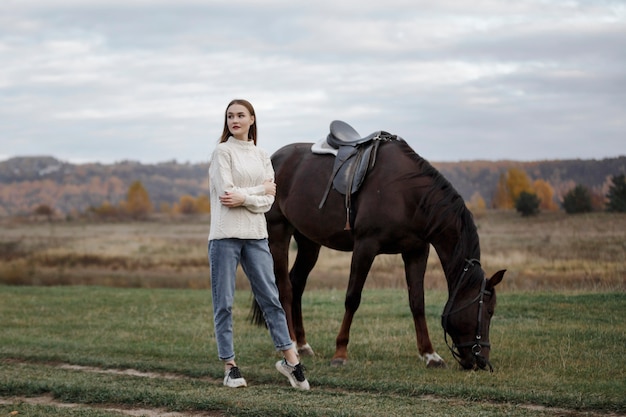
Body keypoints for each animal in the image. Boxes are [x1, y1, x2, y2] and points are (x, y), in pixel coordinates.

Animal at [251, 128, 504, 368]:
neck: (409, 195)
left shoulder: (416, 251)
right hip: (278, 233)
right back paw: (292, 343)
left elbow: (417, 302)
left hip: (308, 241)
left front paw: (430, 354)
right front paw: (340, 353)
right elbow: (352, 298)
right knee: (285, 288)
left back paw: (303, 344)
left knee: (297, 284)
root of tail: (275, 157)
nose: (482, 361)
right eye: (488, 311)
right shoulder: (366, 246)